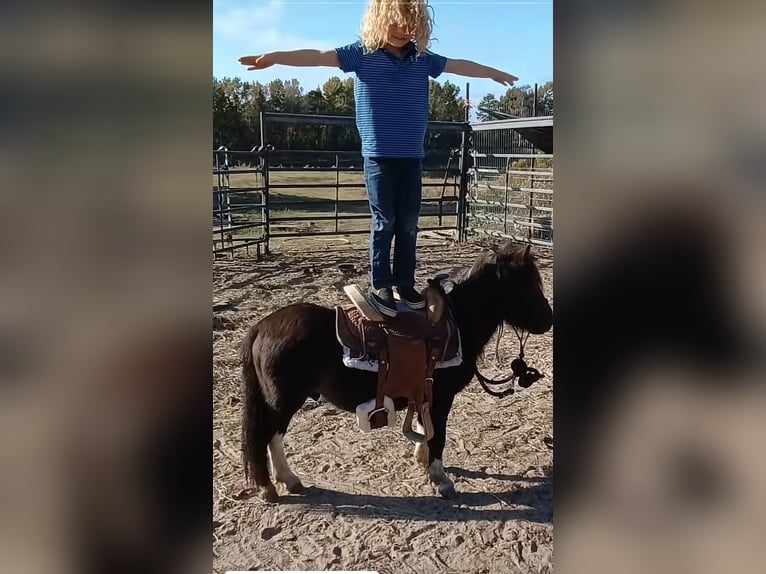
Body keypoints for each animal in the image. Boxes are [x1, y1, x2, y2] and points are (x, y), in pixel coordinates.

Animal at [240, 243, 552, 504]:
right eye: (526, 285)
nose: (548, 321)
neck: (458, 324)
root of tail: (261, 326)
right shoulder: (442, 398)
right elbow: (438, 436)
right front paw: (440, 480)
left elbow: (425, 429)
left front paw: (421, 459)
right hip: (283, 401)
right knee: (264, 436)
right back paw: (271, 486)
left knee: (272, 437)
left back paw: (287, 480)